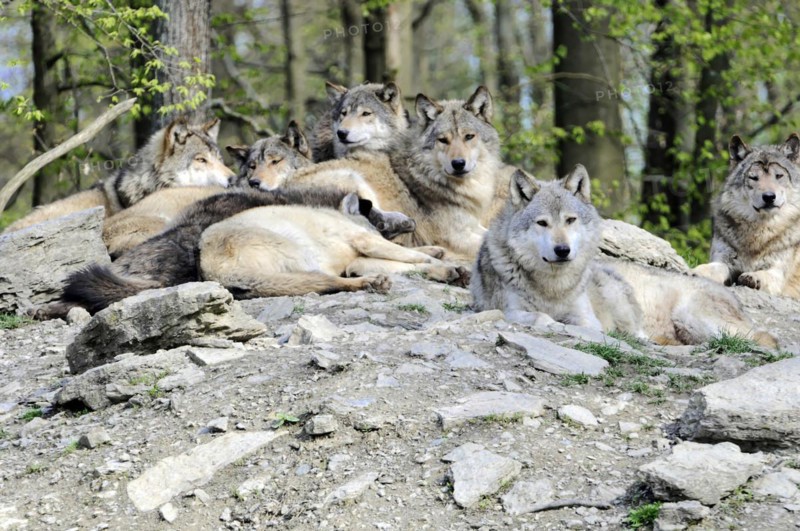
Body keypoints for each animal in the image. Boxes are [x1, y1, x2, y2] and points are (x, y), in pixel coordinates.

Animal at [471, 165, 777, 347]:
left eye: (570, 220)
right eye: (542, 223)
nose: (562, 250)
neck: (552, 287)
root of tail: (731, 296)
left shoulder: (586, 317)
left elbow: (583, 325)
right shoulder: (508, 309)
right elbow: (539, 317)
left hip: (693, 320)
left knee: (765, 338)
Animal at [693, 134, 800, 299]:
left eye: (779, 176)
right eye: (754, 177)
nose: (769, 197)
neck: (759, 232)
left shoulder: (777, 272)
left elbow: (765, 274)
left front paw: (753, 277)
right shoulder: (723, 260)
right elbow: (712, 267)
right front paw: (698, 270)